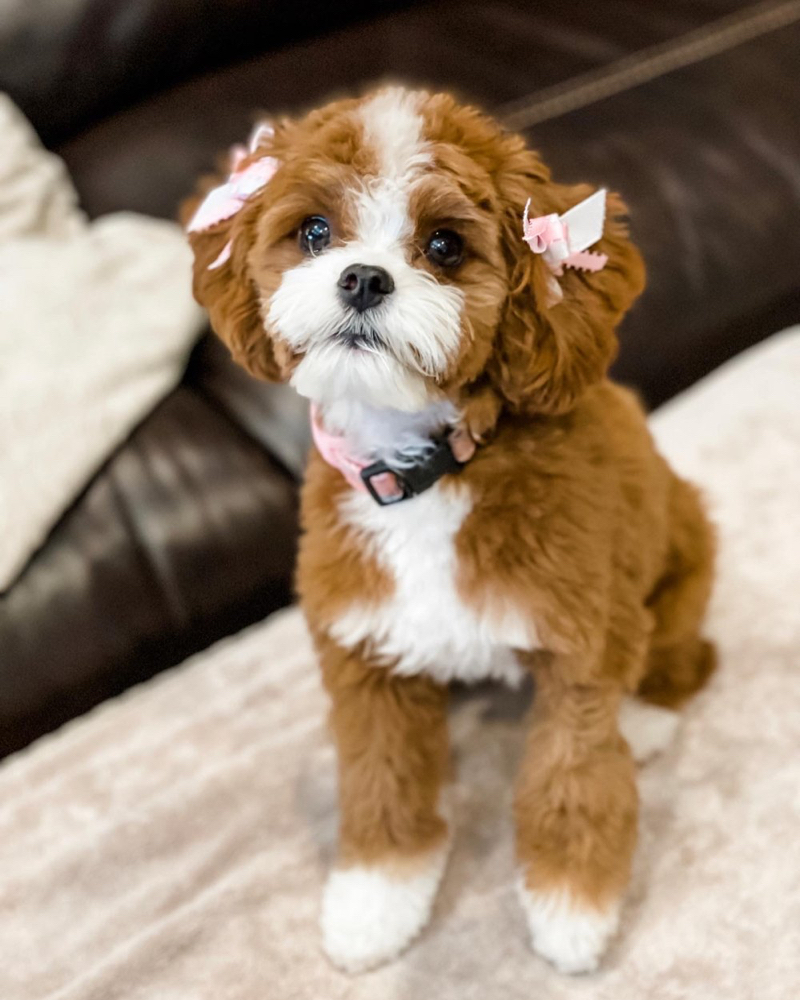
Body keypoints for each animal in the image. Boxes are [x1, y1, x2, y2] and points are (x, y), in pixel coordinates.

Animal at [184, 86, 716, 976]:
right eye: (315, 231)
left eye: (444, 245)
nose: (363, 277)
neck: (425, 472)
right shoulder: (365, 656)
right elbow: (381, 783)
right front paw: (374, 904)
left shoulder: (578, 648)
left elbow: (573, 777)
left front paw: (572, 910)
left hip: (684, 558)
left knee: (675, 655)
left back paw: (646, 718)